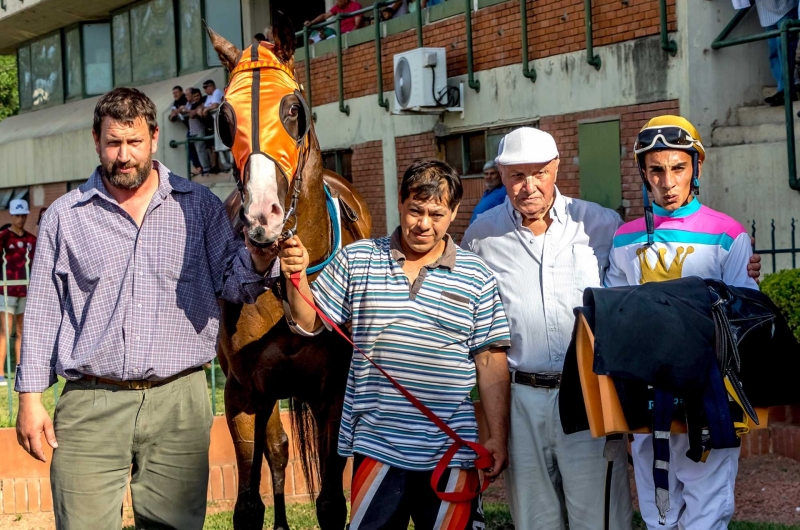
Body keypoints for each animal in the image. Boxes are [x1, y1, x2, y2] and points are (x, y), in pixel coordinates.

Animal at [203, 14, 372, 524]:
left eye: (294, 109)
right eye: (224, 121)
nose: (263, 217)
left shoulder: (333, 393)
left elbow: (332, 501)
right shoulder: (242, 394)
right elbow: (248, 503)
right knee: (276, 450)